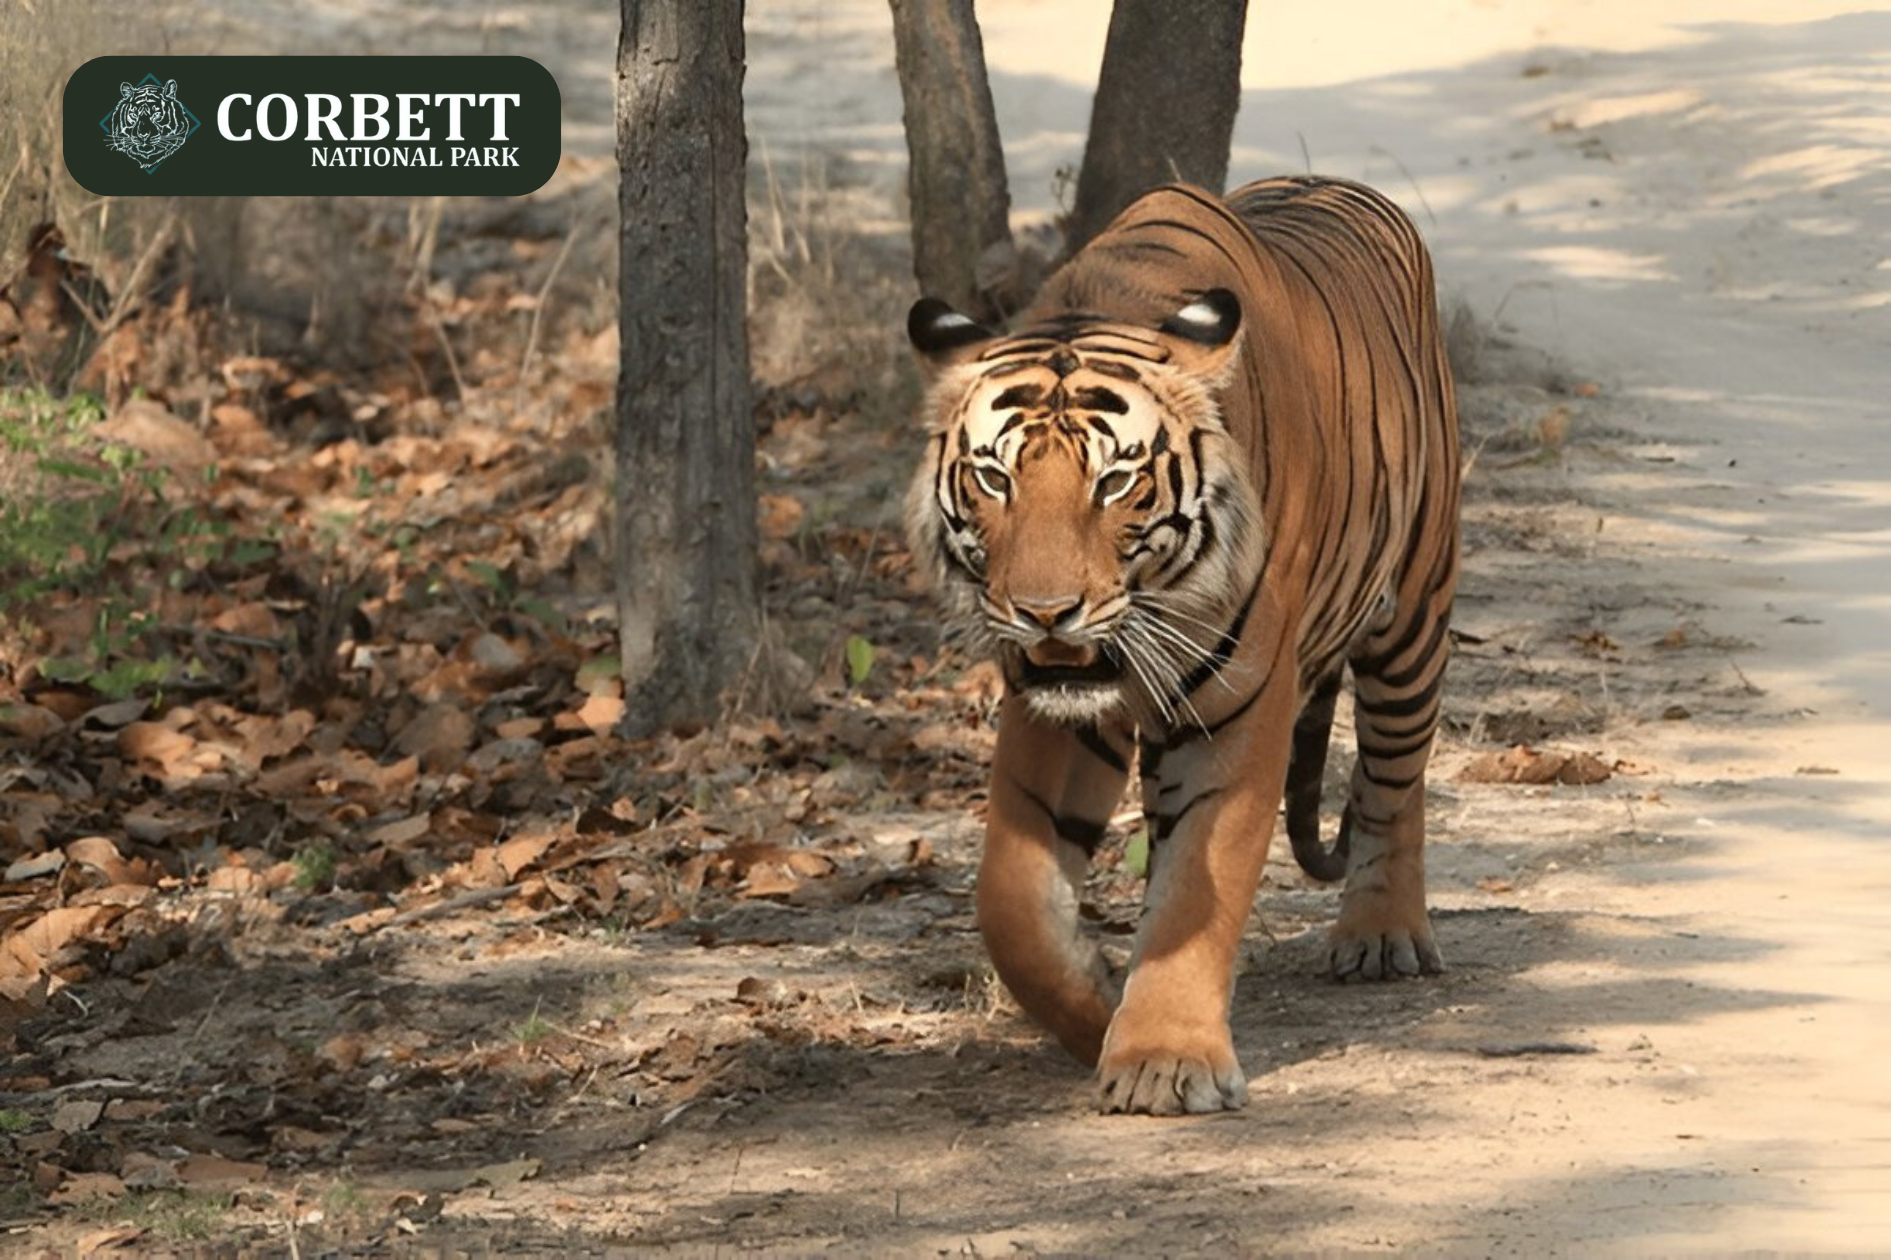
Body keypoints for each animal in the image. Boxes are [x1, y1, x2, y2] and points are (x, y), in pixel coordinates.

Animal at [904, 175, 1460, 1115]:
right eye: (993, 477)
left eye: (1114, 481)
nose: (1044, 612)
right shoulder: (1051, 712)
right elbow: (1012, 898)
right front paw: (1096, 1009)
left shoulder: (1239, 708)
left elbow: (1201, 882)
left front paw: (1163, 1060)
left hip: (1413, 612)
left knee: (1393, 775)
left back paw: (1382, 933)